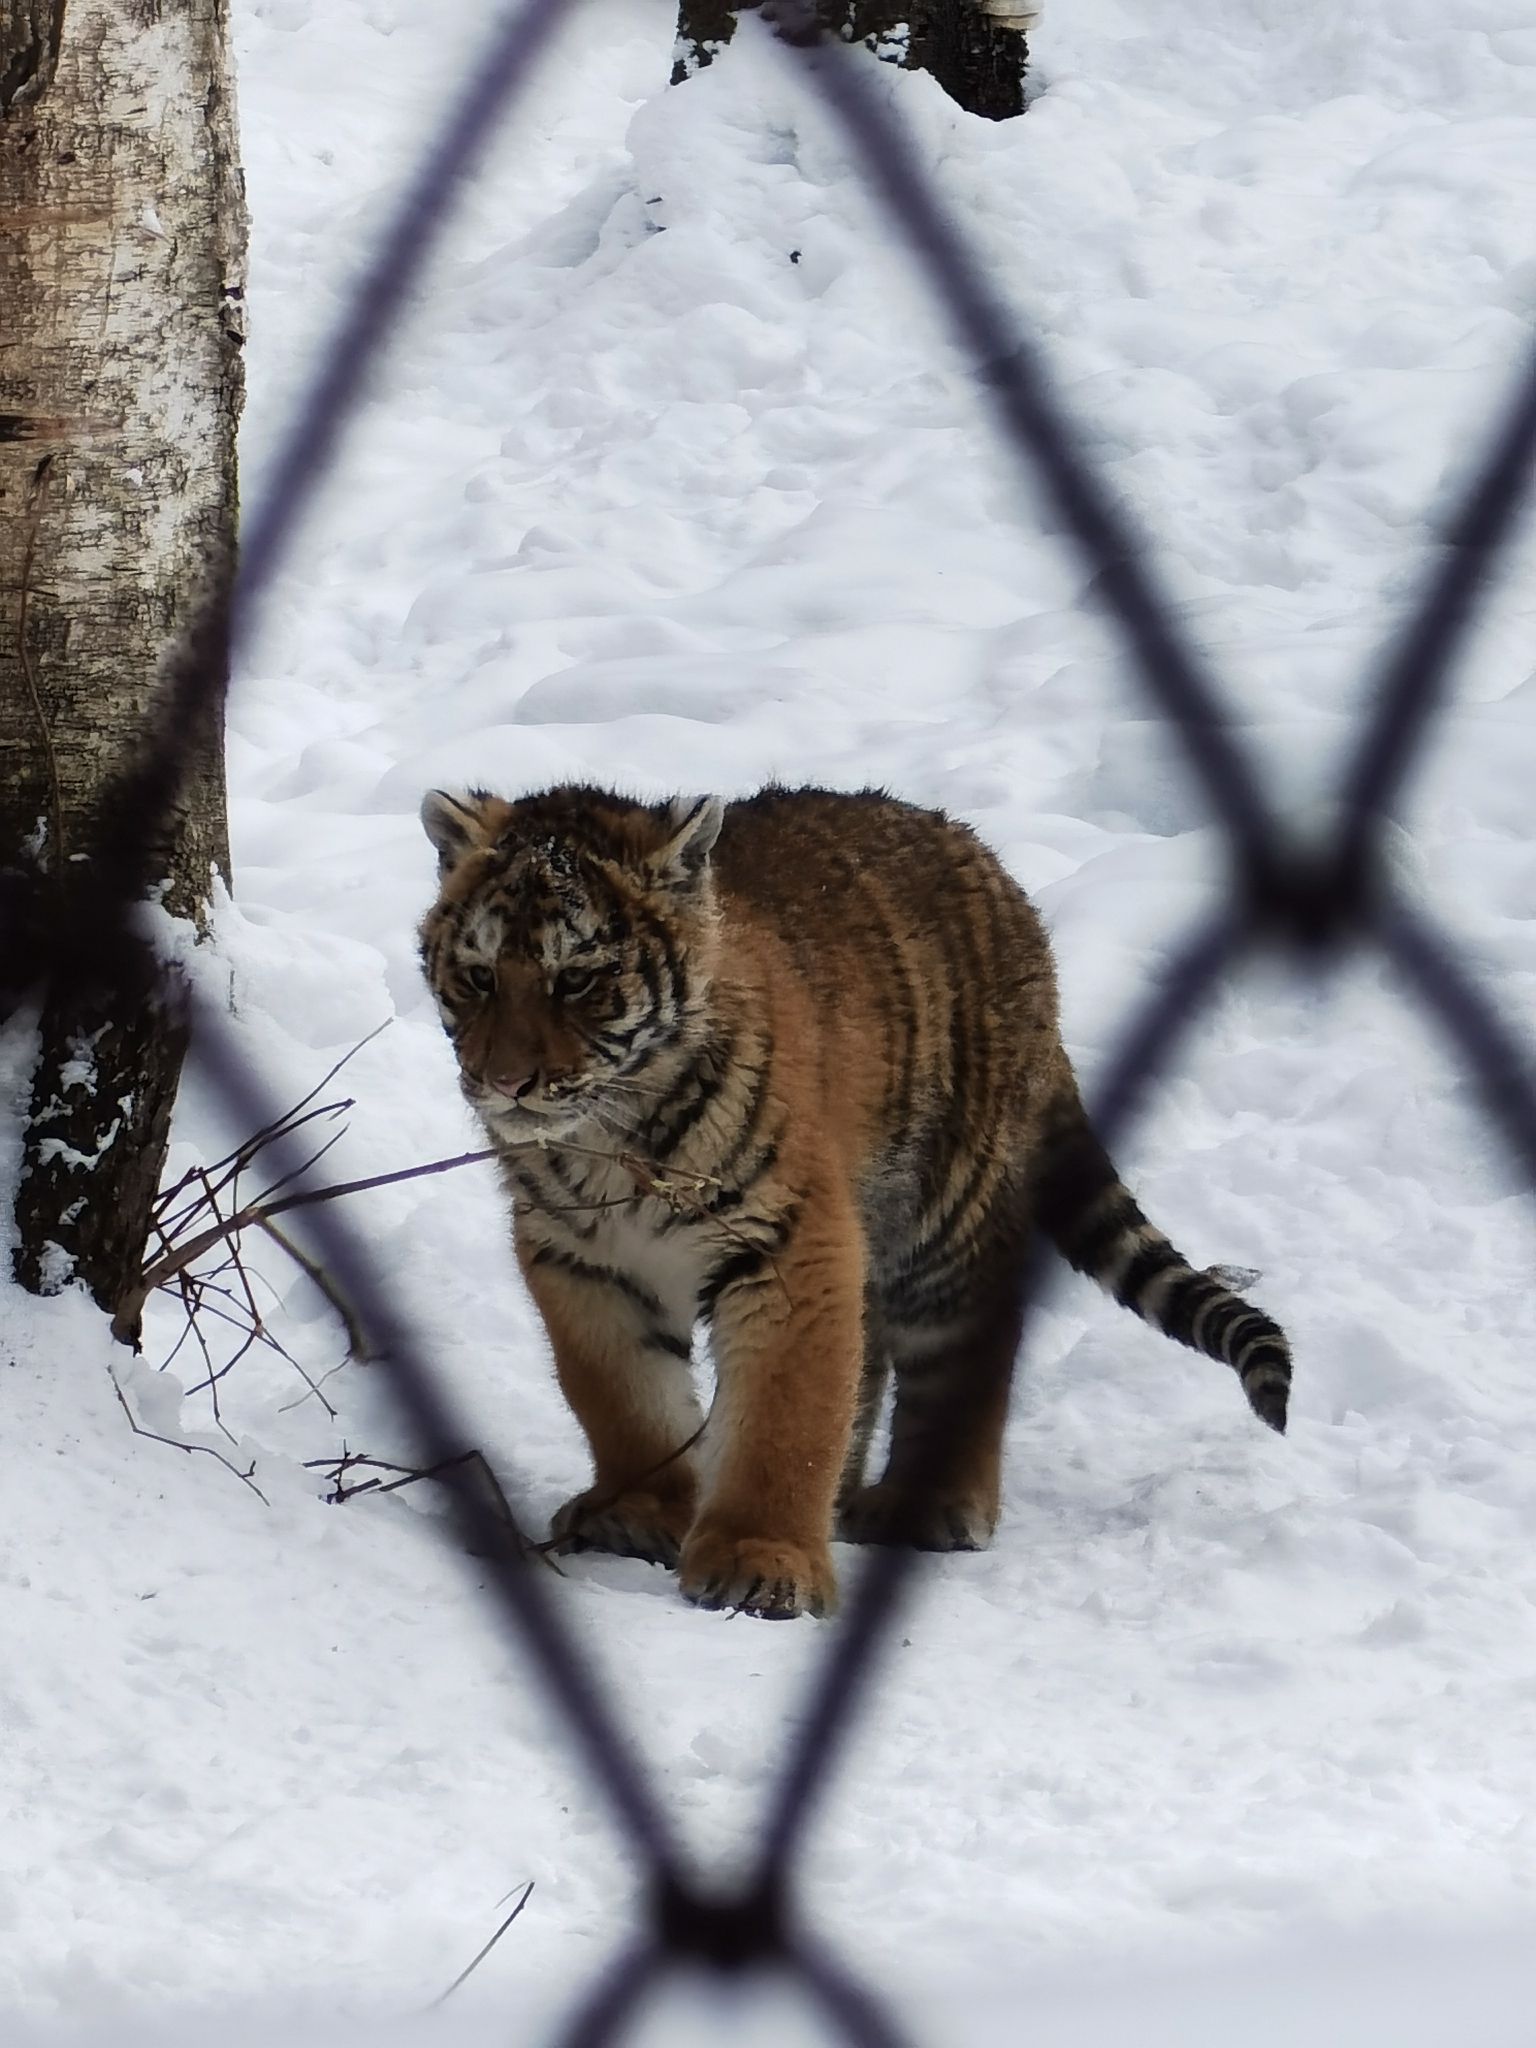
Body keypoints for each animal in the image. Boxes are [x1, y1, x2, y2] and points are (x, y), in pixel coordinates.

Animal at [418, 783, 1290, 1621]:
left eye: (578, 980)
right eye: (480, 976)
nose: (505, 1083)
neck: (608, 1141)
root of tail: (992, 870)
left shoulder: (785, 1241)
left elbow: (786, 1416)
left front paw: (761, 1563)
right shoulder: (583, 1260)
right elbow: (623, 1401)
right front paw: (641, 1515)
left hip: (944, 1217)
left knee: (970, 1348)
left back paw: (925, 1504)